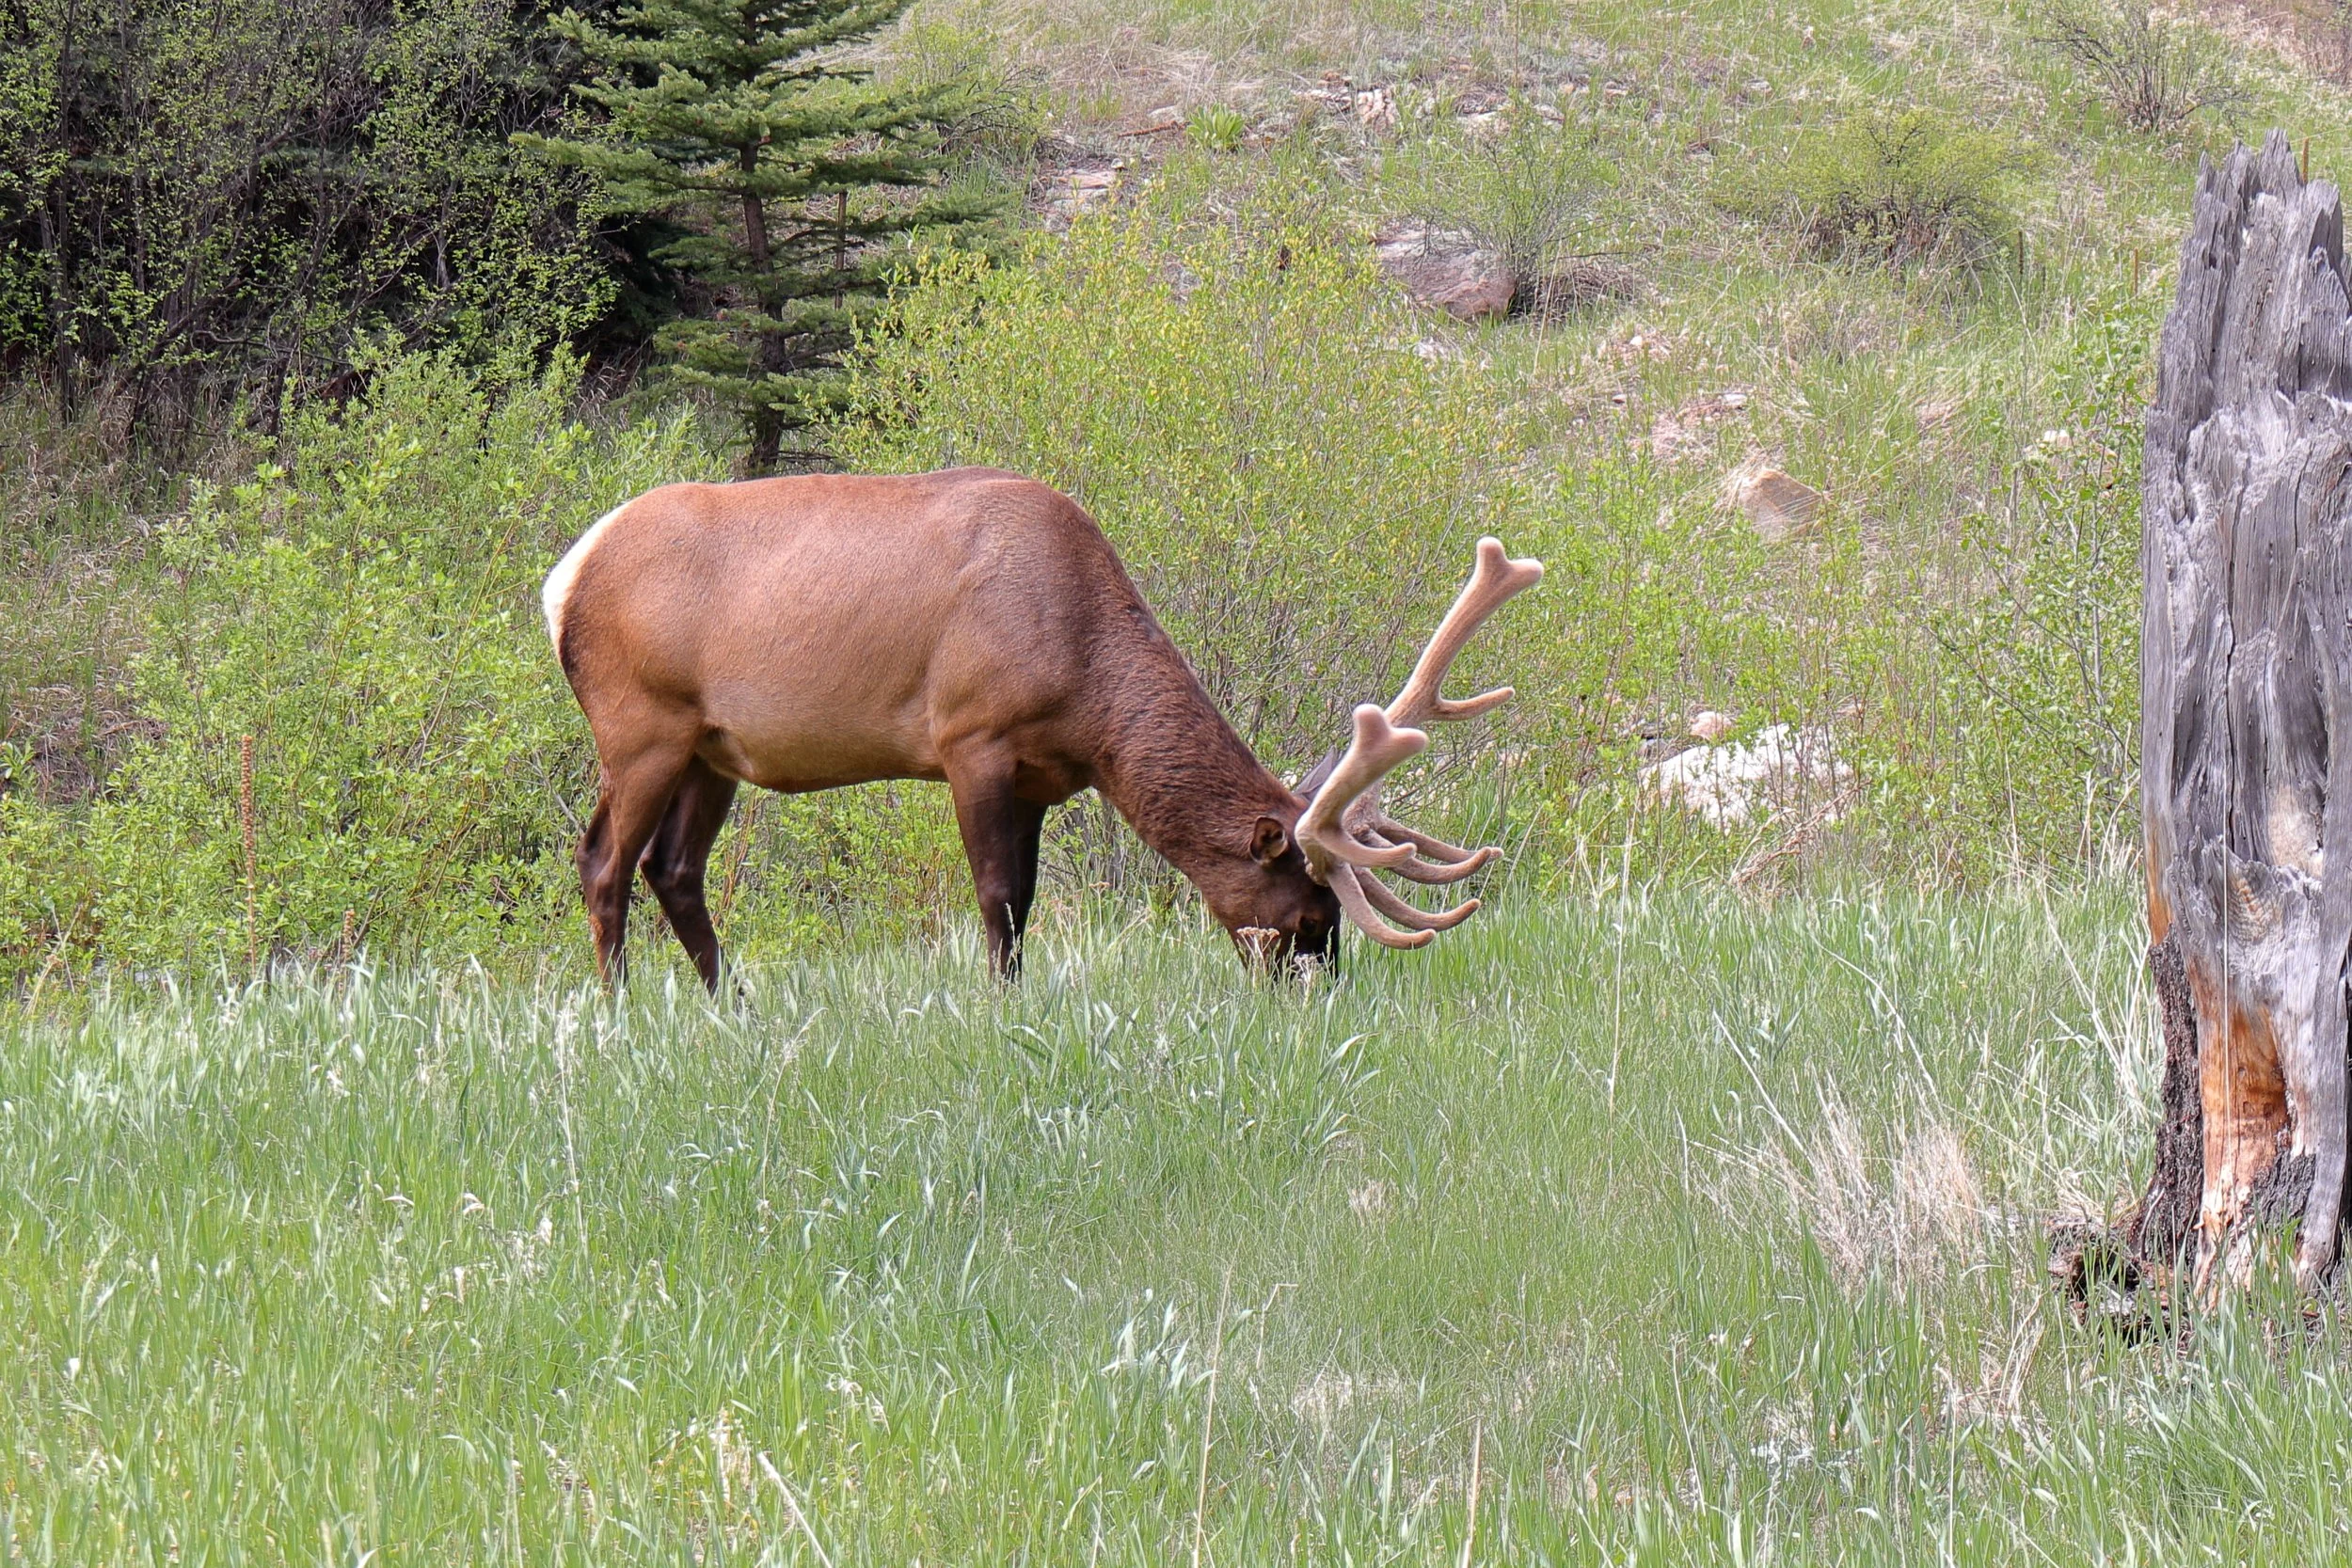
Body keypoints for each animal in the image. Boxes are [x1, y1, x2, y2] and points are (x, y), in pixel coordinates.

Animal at [541, 466, 1541, 988]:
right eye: (1307, 914)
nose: (1320, 992)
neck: (1085, 687)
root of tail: (562, 581)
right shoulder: (971, 736)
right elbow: (996, 896)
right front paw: (998, 1005)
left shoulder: (1039, 777)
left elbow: (1022, 900)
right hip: (640, 723)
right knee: (603, 861)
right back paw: (621, 1011)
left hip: (712, 748)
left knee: (674, 869)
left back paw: (734, 1005)